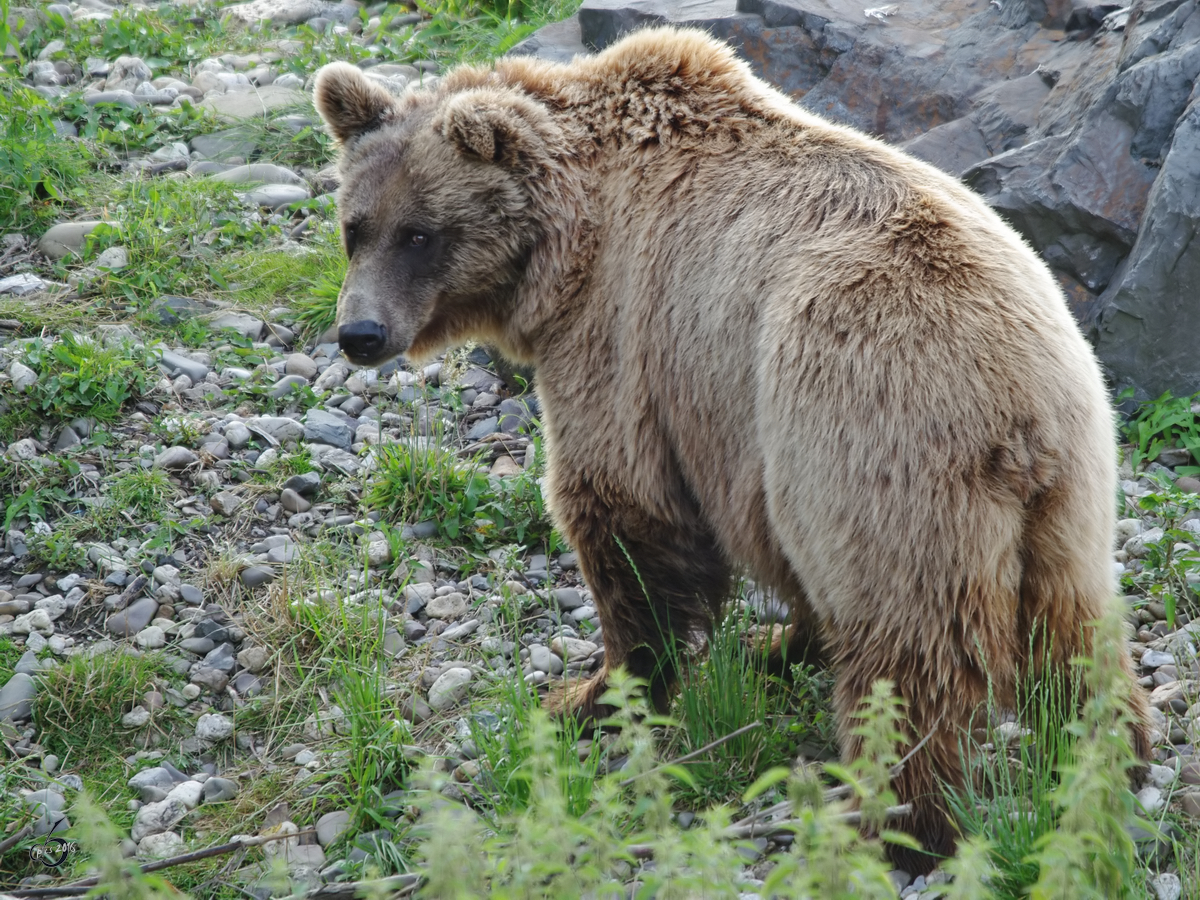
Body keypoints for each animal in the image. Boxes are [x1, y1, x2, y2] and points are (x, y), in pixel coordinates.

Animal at [316, 31, 1152, 878]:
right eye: (356, 226)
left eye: (421, 233)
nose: (360, 334)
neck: (566, 241)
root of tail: (1018, 410)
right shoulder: (726, 421)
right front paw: (774, 643)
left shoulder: (628, 337)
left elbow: (624, 516)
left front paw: (593, 695)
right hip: (1071, 491)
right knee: (1073, 629)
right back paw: (1108, 753)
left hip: (876, 435)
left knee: (906, 645)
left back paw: (895, 820)